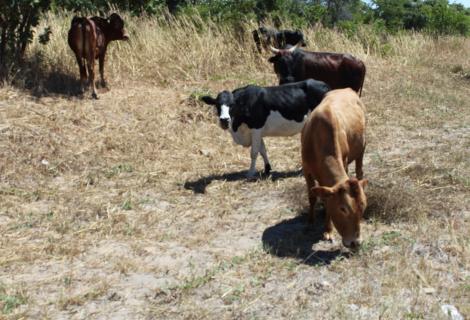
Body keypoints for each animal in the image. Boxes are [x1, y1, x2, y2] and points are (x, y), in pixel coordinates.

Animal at [200, 78, 328, 178]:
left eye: (232, 105)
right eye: (217, 105)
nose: (224, 120)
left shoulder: (256, 128)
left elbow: (254, 152)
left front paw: (250, 173)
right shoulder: (256, 132)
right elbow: (263, 150)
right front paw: (267, 169)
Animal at [302, 88, 368, 250]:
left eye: (363, 207)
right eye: (343, 209)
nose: (355, 242)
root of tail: (347, 89)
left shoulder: (344, 162)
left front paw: (328, 230)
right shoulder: (306, 169)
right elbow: (312, 196)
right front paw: (310, 221)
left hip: (362, 147)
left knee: (359, 170)